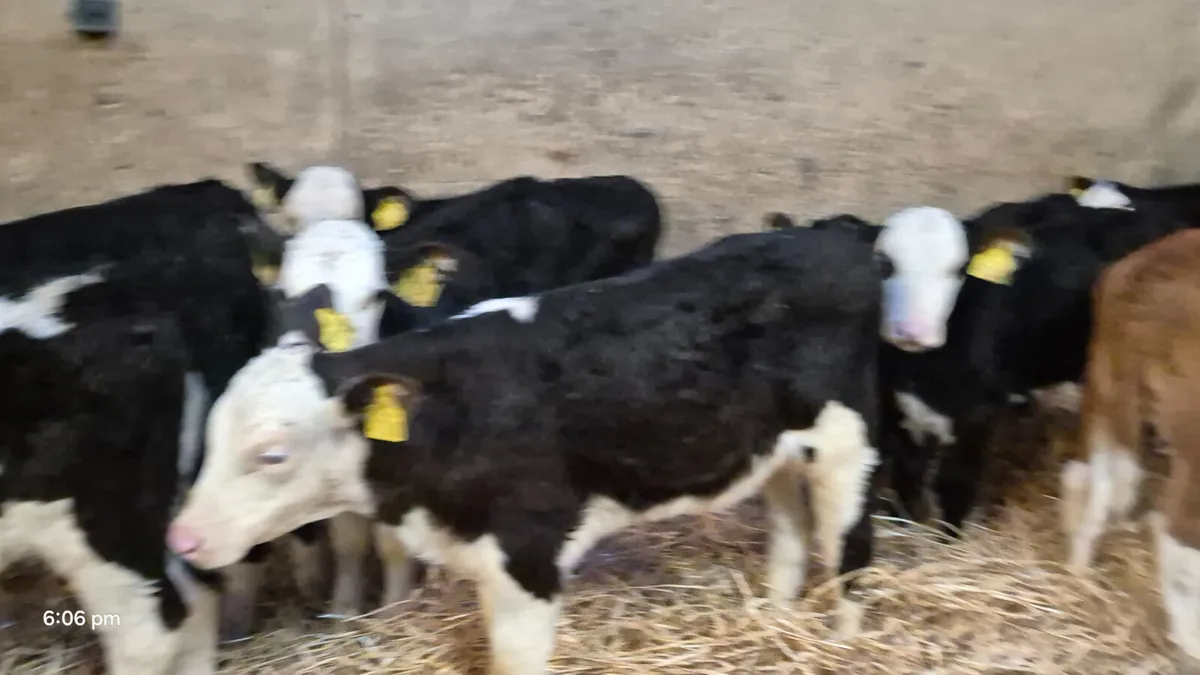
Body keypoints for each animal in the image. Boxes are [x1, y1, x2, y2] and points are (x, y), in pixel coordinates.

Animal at [167, 225, 887, 675]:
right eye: (211, 437)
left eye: (272, 454)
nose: (182, 537)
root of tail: (828, 238)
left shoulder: (530, 554)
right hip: (779, 447)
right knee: (792, 531)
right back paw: (777, 612)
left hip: (848, 438)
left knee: (850, 550)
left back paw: (842, 641)